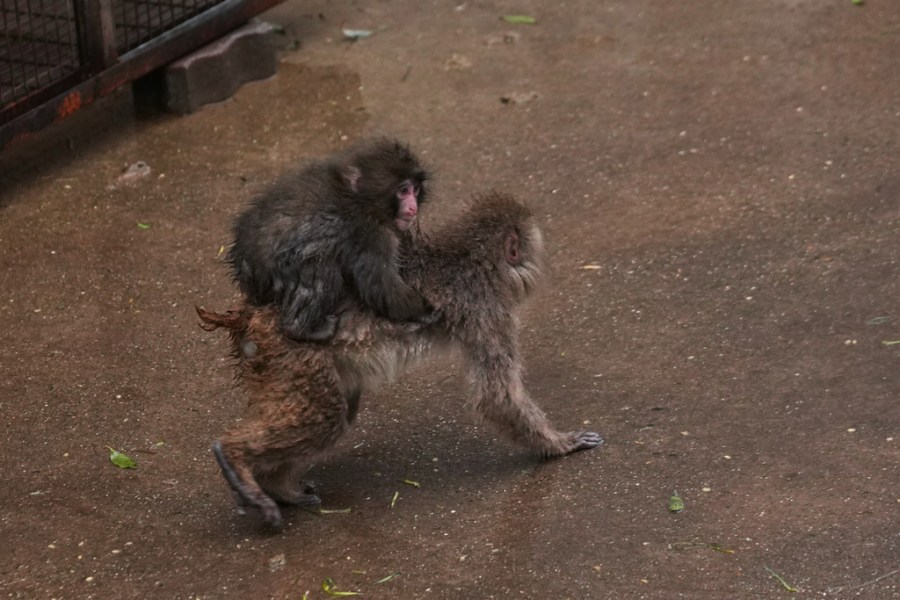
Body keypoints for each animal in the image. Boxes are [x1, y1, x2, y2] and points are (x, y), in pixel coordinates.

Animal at [198, 192, 603, 529]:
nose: (538, 265)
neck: (469, 259)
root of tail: (251, 315)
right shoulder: (486, 309)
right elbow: (497, 397)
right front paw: (558, 444)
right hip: (291, 355)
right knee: (325, 418)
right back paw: (236, 457)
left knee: (338, 411)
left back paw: (276, 485)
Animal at [227, 137, 433, 342]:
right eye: (403, 191)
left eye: (415, 190)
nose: (413, 207)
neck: (360, 198)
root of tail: (244, 264)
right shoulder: (371, 234)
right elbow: (382, 287)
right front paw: (425, 312)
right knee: (321, 268)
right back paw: (299, 329)